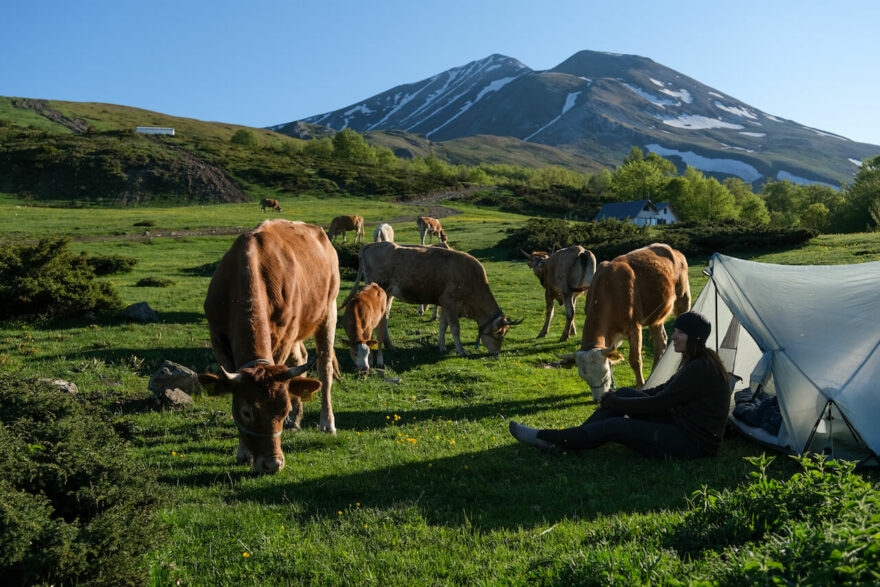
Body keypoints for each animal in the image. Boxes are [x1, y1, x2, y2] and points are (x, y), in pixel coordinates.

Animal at [199, 218, 340, 476]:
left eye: (281, 410)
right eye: (247, 412)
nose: (273, 464)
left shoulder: (283, 339)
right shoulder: (219, 342)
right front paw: (243, 452)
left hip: (328, 311)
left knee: (324, 366)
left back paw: (327, 423)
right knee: (300, 359)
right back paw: (297, 420)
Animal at [344, 241, 524, 356]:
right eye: (499, 332)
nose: (496, 353)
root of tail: (370, 245)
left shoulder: (444, 303)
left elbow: (443, 326)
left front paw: (442, 346)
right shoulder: (451, 303)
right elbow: (455, 328)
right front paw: (461, 351)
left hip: (388, 294)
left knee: (384, 318)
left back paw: (389, 345)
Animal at [556, 241, 696, 402]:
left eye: (604, 372)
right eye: (584, 376)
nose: (598, 399)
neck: (609, 290)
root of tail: (673, 250)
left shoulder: (634, 328)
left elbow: (635, 360)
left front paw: (640, 385)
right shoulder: (609, 336)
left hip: (683, 299)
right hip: (656, 315)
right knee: (660, 342)